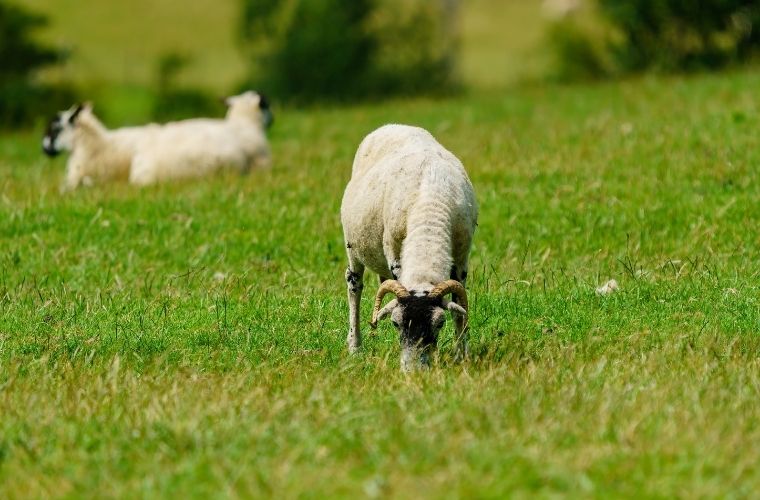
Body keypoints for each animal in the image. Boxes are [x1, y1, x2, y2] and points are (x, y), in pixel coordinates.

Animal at [342, 123, 478, 370]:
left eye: (439, 324)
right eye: (396, 324)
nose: (414, 371)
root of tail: (393, 125)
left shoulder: (462, 259)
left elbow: (459, 311)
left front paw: (462, 355)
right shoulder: (395, 257)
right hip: (353, 247)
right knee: (354, 286)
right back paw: (355, 346)